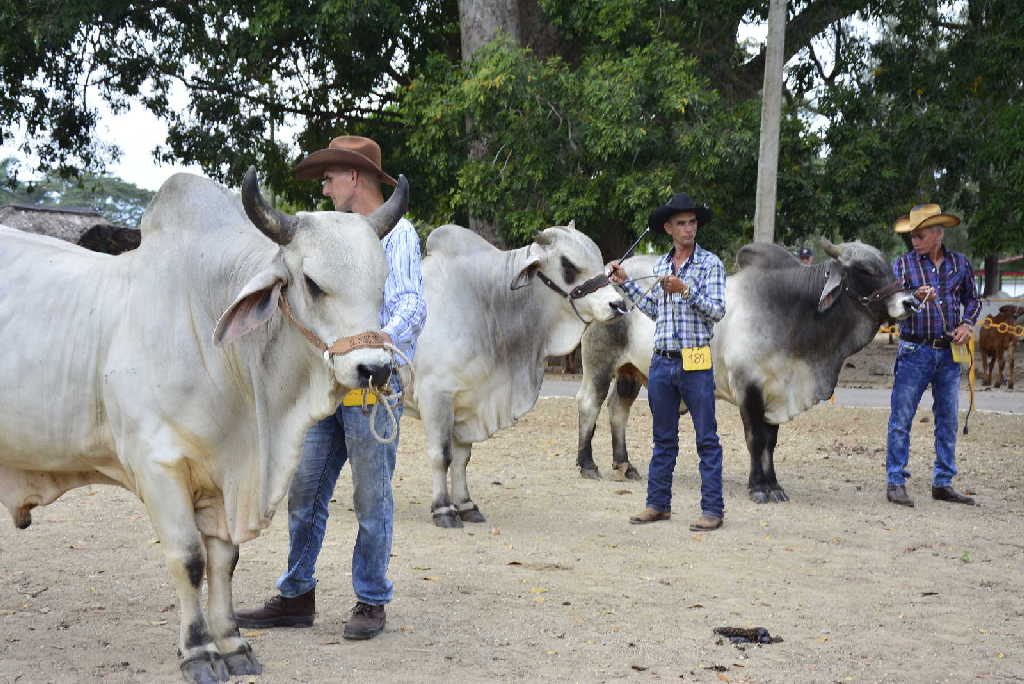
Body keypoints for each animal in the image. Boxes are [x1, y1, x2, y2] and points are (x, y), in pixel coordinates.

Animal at [0, 167, 407, 679]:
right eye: (313, 283)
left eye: (382, 283)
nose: (374, 369)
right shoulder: (158, 467)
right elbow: (189, 559)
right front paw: (198, 651)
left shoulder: (223, 476)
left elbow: (224, 561)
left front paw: (232, 644)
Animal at [403, 222, 626, 528]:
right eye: (567, 264)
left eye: (599, 257)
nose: (618, 304)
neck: (486, 299)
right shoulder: (436, 395)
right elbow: (441, 456)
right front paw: (444, 510)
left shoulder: (468, 401)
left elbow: (461, 458)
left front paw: (467, 505)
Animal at [577, 240, 921, 501]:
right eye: (865, 270)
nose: (911, 302)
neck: (794, 314)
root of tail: (604, 282)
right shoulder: (749, 388)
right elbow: (756, 438)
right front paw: (758, 487)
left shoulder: (776, 392)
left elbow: (770, 441)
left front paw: (773, 484)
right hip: (599, 365)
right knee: (590, 404)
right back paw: (587, 464)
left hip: (629, 372)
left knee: (617, 409)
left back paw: (624, 465)